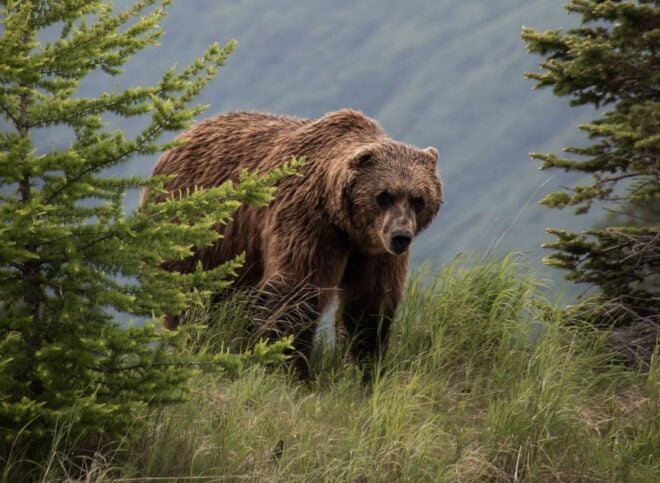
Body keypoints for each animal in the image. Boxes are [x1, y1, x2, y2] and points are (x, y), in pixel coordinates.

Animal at [145, 109, 444, 378]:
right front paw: (290, 368)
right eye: (384, 195)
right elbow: (295, 291)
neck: (344, 223)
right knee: (197, 301)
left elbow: (369, 303)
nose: (400, 236)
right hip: (199, 237)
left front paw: (363, 367)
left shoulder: (373, 251)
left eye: (418, 199)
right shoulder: (308, 223)